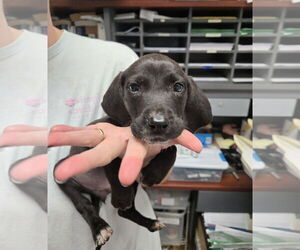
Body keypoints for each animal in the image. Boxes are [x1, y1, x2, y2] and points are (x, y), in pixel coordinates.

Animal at [54, 53, 213, 249]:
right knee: (83, 204)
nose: (158, 123)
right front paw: (122, 195)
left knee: (125, 212)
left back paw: (150, 222)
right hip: (61, 171)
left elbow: (172, 149)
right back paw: (101, 227)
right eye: (134, 87)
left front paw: (153, 174)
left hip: (134, 183)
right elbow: (115, 164)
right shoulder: (107, 142)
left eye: (178, 87)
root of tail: (99, 193)